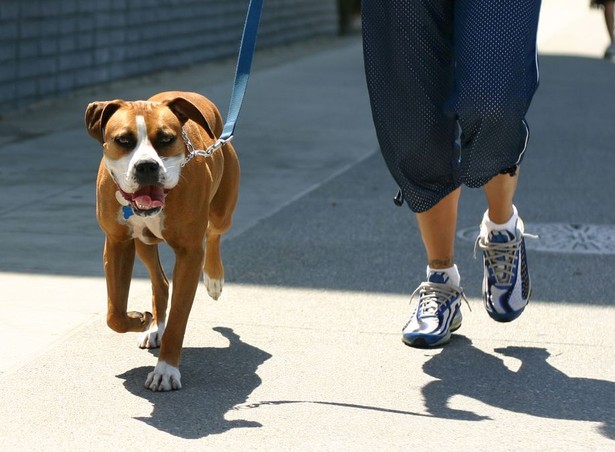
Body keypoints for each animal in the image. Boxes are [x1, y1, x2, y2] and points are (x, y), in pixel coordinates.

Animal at [85, 91, 239, 392]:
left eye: (166, 139)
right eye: (124, 140)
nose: (146, 165)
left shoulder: (190, 253)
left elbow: (179, 319)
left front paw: (166, 370)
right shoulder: (117, 243)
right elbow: (114, 314)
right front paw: (139, 319)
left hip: (222, 212)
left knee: (214, 233)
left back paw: (214, 279)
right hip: (143, 243)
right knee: (161, 282)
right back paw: (155, 326)